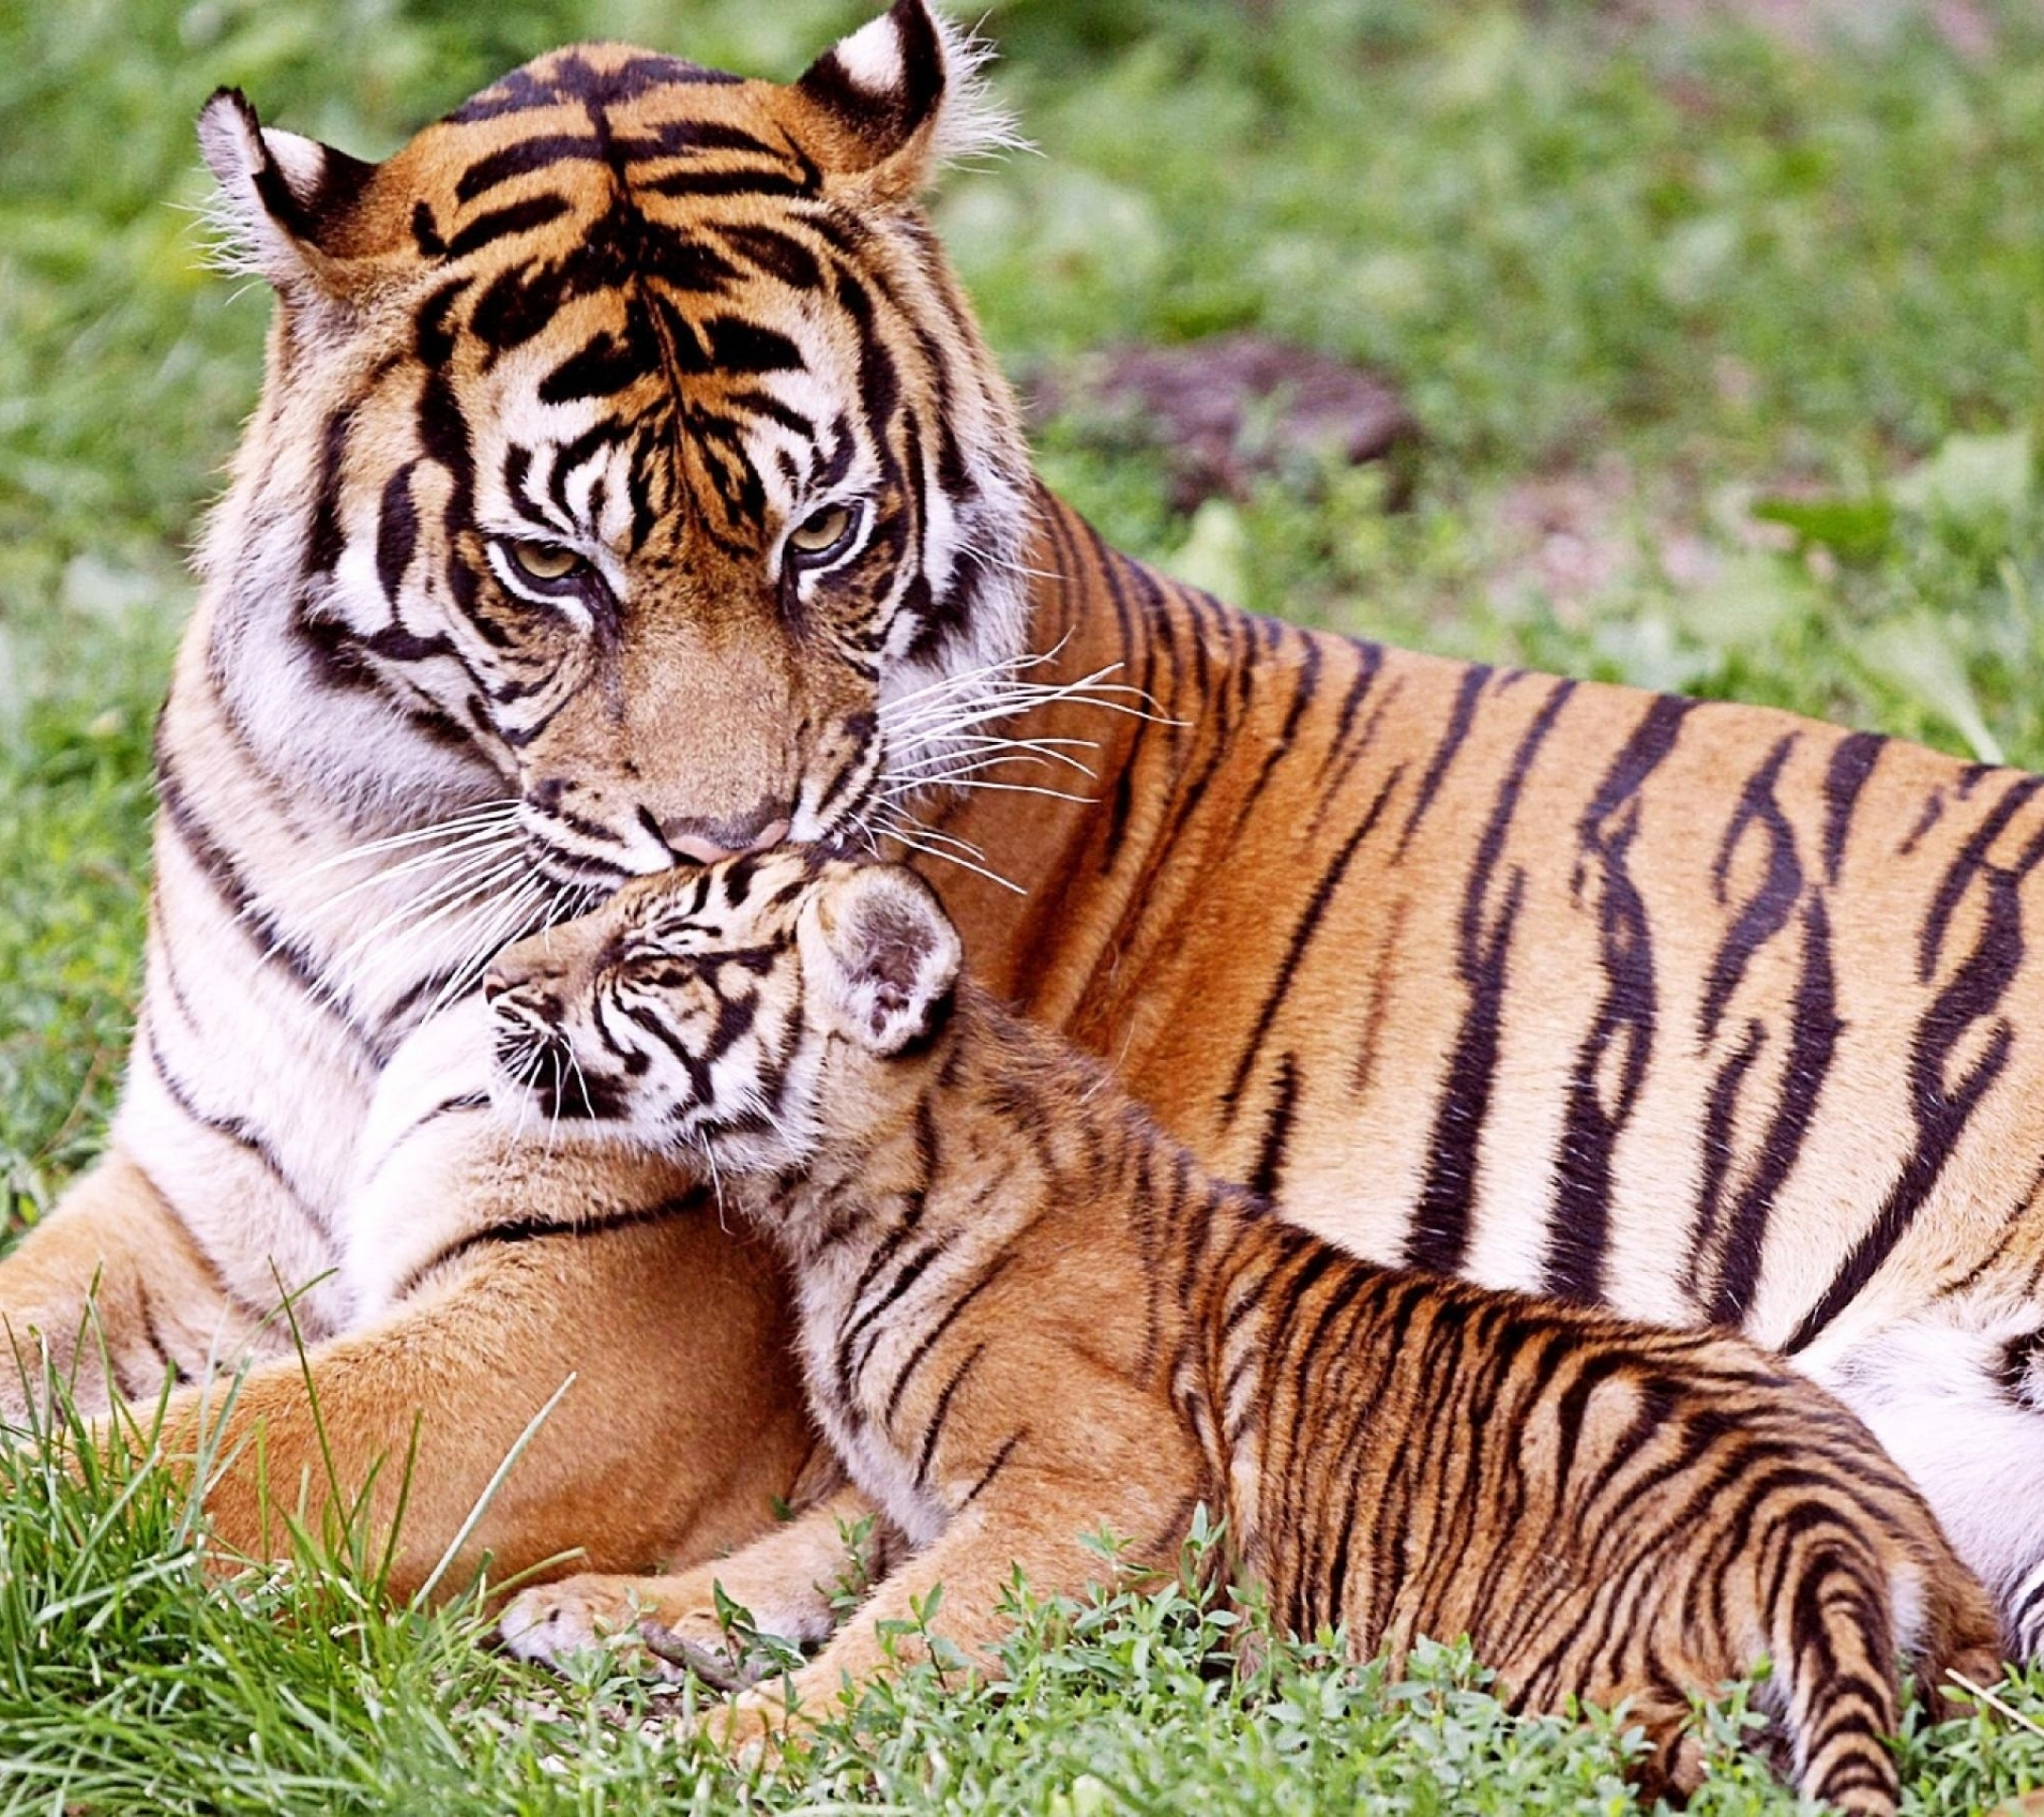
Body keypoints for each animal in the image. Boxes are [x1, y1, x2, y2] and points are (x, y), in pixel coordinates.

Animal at [11, 0, 2044, 1643]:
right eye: (549, 568)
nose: (730, 847)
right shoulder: (181, 1203)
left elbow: (159, 1462)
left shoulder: (590, 1319)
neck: (374, 828)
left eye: (823, 532)